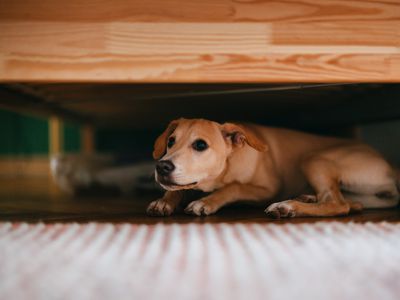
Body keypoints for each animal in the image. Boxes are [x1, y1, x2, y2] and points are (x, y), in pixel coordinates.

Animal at [147, 118, 400, 218]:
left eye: (200, 145)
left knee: (338, 204)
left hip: (313, 158)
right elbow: (178, 188)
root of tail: (390, 166)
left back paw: (288, 207)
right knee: (350, 203)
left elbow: (234, 187)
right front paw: (164, 201)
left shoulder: (268, 189)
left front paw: (206, 202)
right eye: (171, 141)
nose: (162, 166)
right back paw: (306, 197)